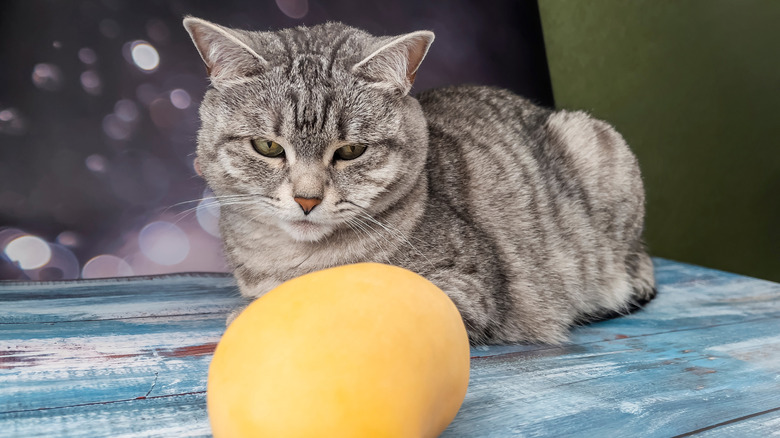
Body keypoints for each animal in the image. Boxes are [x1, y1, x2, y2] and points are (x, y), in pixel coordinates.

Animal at [181, 17, 652, 344]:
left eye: (351, 151)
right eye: (268, 147)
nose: (307, 199)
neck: (299, 261)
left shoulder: (463, 285)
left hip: (596, 147)